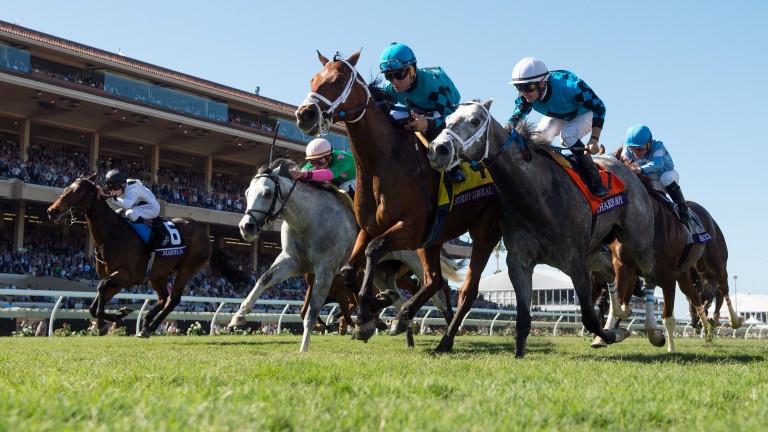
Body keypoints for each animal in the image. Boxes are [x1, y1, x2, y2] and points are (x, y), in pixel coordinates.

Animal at [47, 174, 246, 336]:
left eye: (78, 191)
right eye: (67, 187)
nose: (52, 211)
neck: (111, 234)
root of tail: (206, 236)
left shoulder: (125, 276)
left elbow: (101, 289)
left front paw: (106, 322)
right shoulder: (115, 279)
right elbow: (94, 305)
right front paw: (119, 314)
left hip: (187, 268)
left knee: (173, 299)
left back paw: (149, 328)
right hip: (157, 275)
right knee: (163, 298)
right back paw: (146, 320)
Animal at [226, 160, 456, 352]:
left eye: (266, 193)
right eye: (246, 192)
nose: (246, 227)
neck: (308, 219)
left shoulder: (325, 269)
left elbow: (313, 309)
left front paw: (303, 347)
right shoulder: (292, 261)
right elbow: (264, 279)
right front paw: (238, 316)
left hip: (415, 261)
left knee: (437, 290)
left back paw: (450, 327)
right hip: (382, 272)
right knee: (400, 298)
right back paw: (404, 328)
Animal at [296, 50, 504, 352]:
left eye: (338, 80)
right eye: (313, 79)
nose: (305, 115)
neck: (384, 161)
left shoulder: (410, 228)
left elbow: (373, 251)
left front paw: (367, 314)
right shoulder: (368, 228)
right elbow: (348, 272)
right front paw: (372, 311)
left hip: (484, 231)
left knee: (466, 290)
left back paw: (445, 337)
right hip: (433, 239)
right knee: (434, 281)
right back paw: (404, 316)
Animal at [426, 101, 660, 358]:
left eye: (475, 120)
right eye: (448, 119)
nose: (438, 149)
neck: (535, 197)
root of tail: (629, 171)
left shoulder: (574, 262)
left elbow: (588, 319)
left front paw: (613, 334)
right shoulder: (520, 262)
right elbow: (523, 318)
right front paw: (519, 355)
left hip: (637, 242)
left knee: (650, 276)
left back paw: (654, 332)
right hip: (593, 252)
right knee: (610, 271)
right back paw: (620, 312)